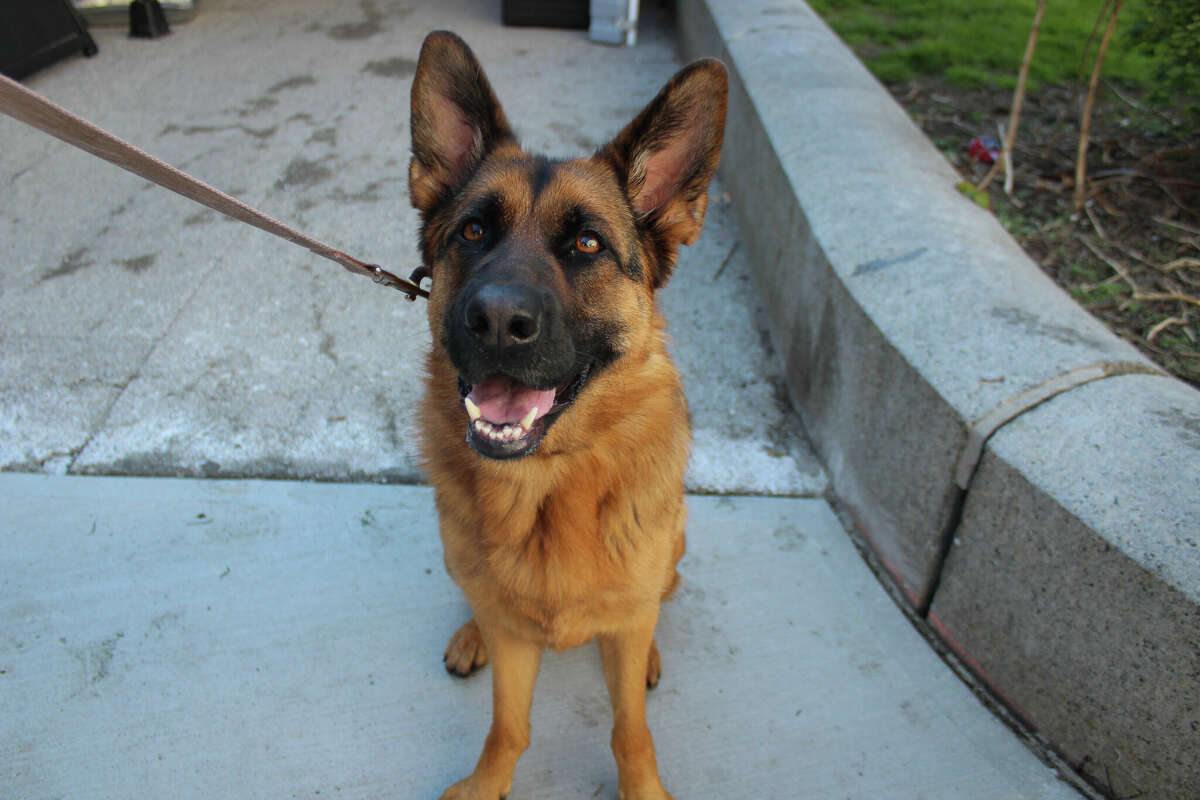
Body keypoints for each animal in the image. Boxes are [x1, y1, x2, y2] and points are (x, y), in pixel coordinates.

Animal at [412, 31, 724, 800]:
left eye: (587, 245)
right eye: (472, 231)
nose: (497, 321)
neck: (547, 485)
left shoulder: (627, 630)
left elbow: (630, 730)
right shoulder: (515, 641)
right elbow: (508, 727)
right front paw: (486, 782)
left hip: (674, 548)